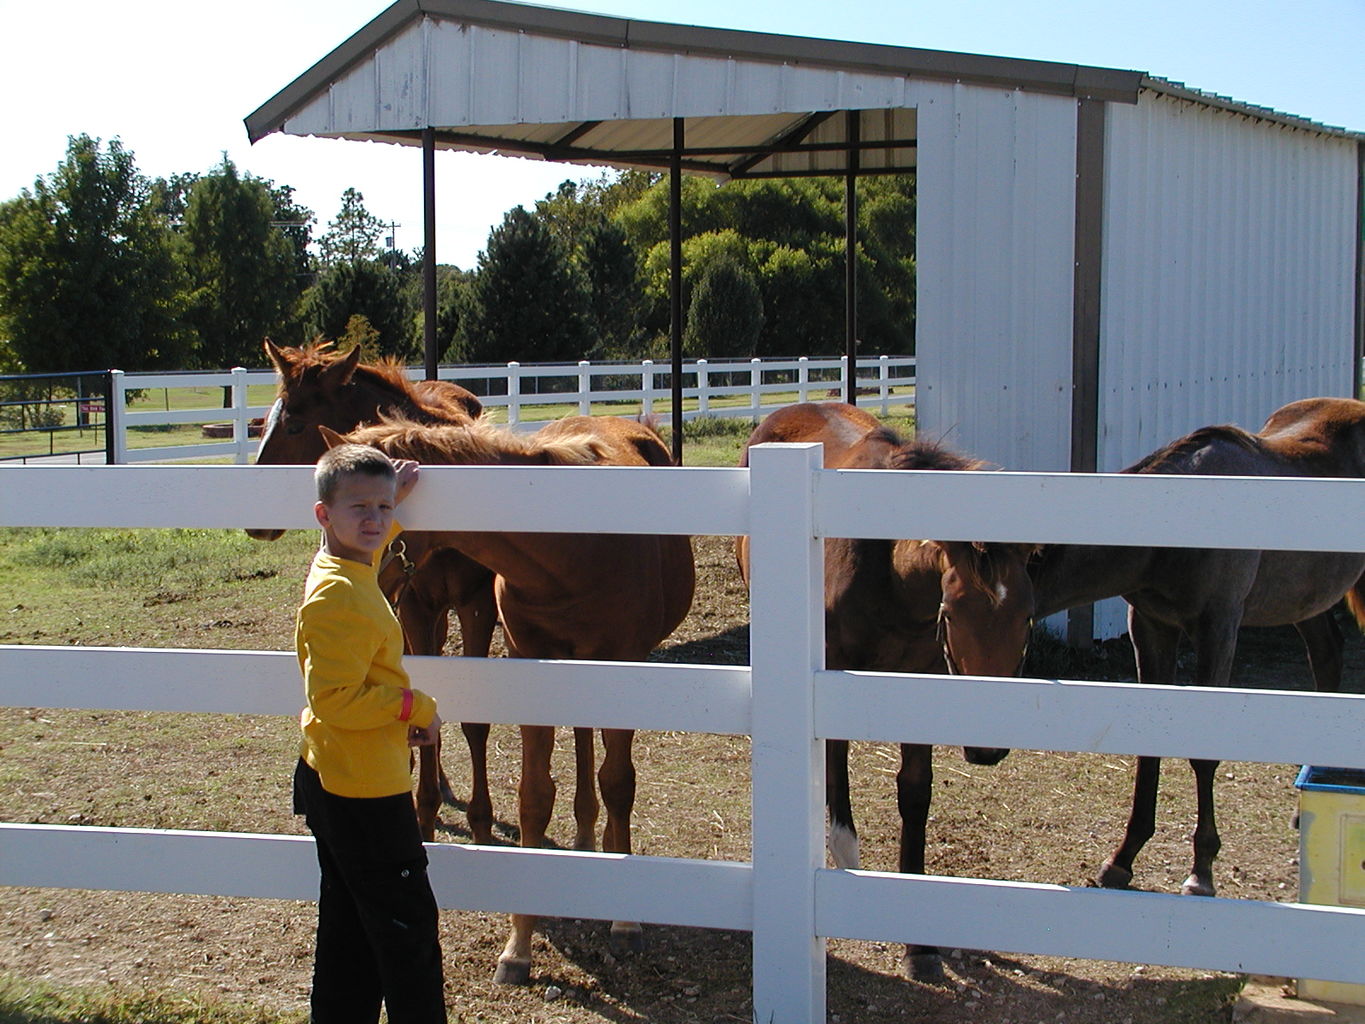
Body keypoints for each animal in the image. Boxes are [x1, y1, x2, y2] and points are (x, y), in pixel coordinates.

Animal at [248, 341, 499, 846]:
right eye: (262, 422)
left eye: (294, 424)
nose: (255, 523)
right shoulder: (417, 607)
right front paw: (424, 807)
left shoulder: (476, 605)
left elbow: (475, 722)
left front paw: (481, 820)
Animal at [327, 412, 693, 988]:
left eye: (378, 508)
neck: (572, 552)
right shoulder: (530, 662)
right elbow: (534, 797)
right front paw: (518, 945)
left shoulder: (625, 661)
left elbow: (618, 785)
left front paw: (625, 919)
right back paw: (583, 845)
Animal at [737, 404, 1031, 983]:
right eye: (952, 612)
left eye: (1028, 617)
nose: (987, 748)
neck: (888, 576)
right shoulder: (831, 671)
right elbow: (834, 769)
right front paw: (844, 859)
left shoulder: (920, 678)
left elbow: (915, 792)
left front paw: (920, 944)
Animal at [1026, 395, 1365, 901]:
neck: (1181, 520)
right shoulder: (1151, 627)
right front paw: (1122, 859)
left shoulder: (1218, 629)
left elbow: (1203, 751)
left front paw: (1201, 870)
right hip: (1307, 600)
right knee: (1326, 658)